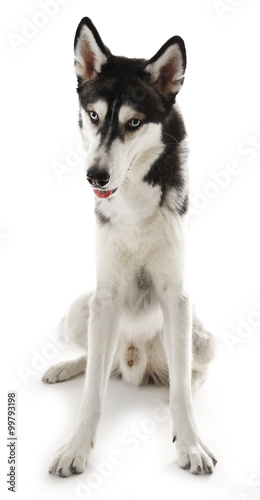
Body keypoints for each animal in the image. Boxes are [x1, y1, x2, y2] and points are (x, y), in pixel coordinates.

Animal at [42, 15, 217, 476]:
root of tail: (134, 363)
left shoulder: (177, 296)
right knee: (99, 367)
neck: (135, 199)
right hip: (81, 311)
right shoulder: (104, 297)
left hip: (200, 335)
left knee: (187, 375)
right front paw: (76, 448)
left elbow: (182, 392)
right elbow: (92, 392)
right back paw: (68, 367)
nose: (96, 176)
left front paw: (190, 444)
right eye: (93, 115)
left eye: (134, 123)